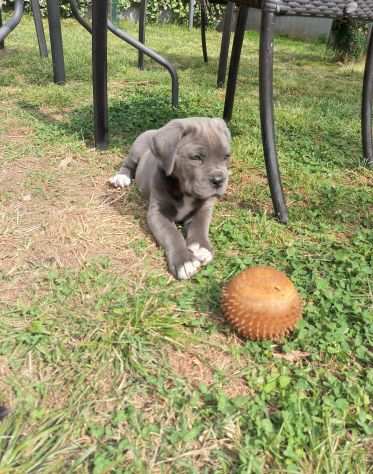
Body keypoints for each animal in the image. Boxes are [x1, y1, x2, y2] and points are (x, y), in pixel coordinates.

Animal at [108, 118, 230, 280]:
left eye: (226, 157)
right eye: (196, 157)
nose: (219, 180)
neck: (185, 192)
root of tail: (154, 130)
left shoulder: (204, 209)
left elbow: (200, 226)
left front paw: (201, 247)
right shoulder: (158, 213)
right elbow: (173, 234)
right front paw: (184, 261)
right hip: (136, 150)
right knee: (128, 164)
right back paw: (121, 178)